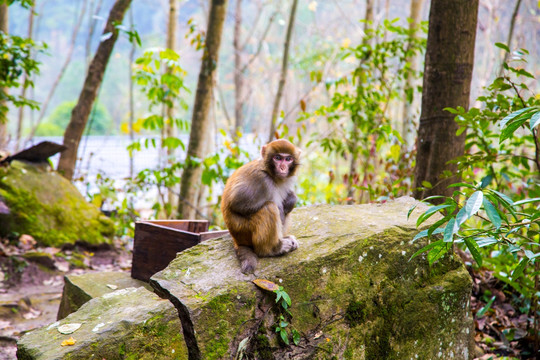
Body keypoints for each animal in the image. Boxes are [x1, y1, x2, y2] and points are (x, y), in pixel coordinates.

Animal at [220, 138, 304, 272]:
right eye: (277, 158)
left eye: (288, 159)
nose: (282, 167)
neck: (271, 174)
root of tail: (237, 240)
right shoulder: (261, 179)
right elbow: (237, 204)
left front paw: (291, 198)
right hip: (245, 231)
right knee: (270, 207)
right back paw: (272, 249)